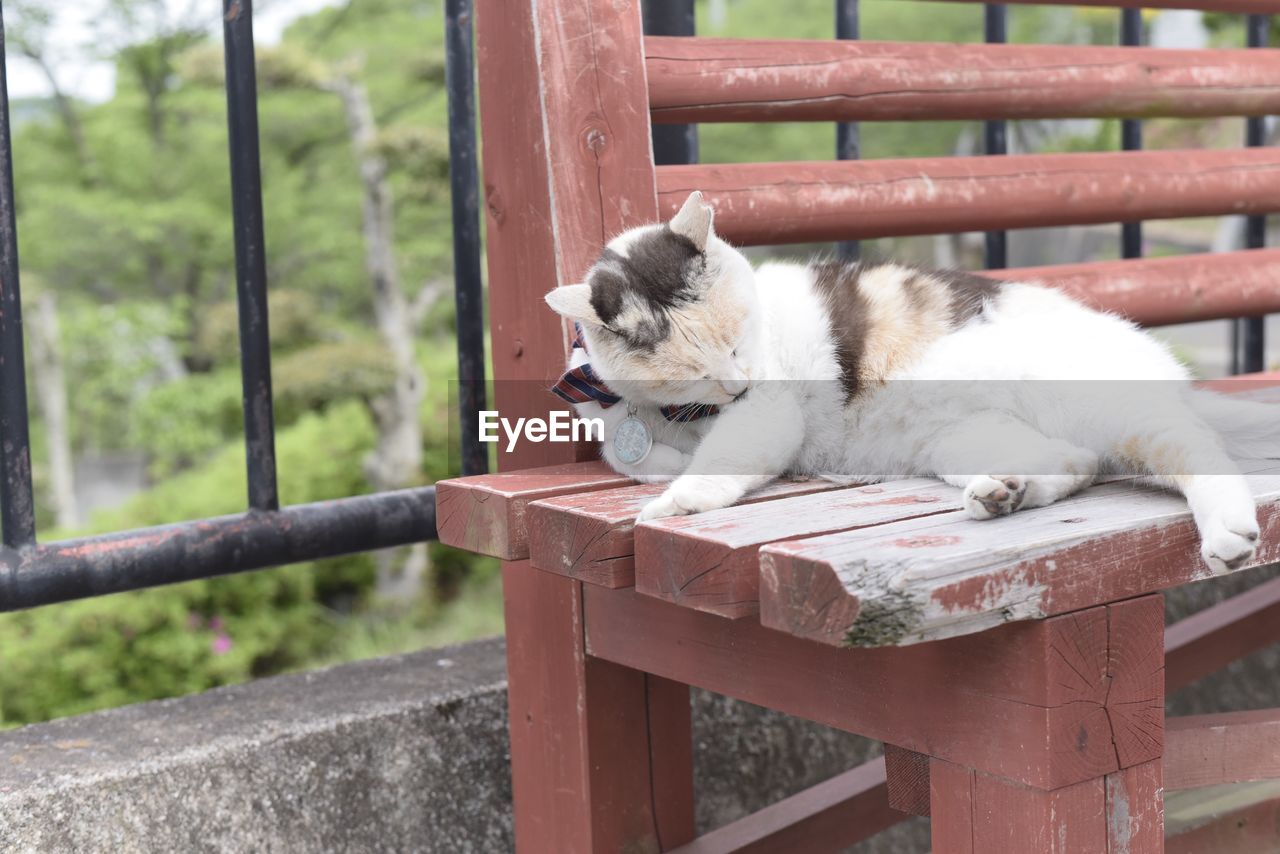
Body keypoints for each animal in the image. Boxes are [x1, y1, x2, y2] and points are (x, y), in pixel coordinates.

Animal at [545, 190, 1274, 571]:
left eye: (739, 337)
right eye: (696, 368)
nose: (738, 384)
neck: (682, 415)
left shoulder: (766, 414)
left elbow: (723, 460)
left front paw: (677, 502)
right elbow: (631, 457)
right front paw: (659, 469)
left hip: (1110, 409)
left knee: (1189, 448)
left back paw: (1228, 533)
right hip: (963, 440)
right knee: (1073, 463)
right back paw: (1002, 494)